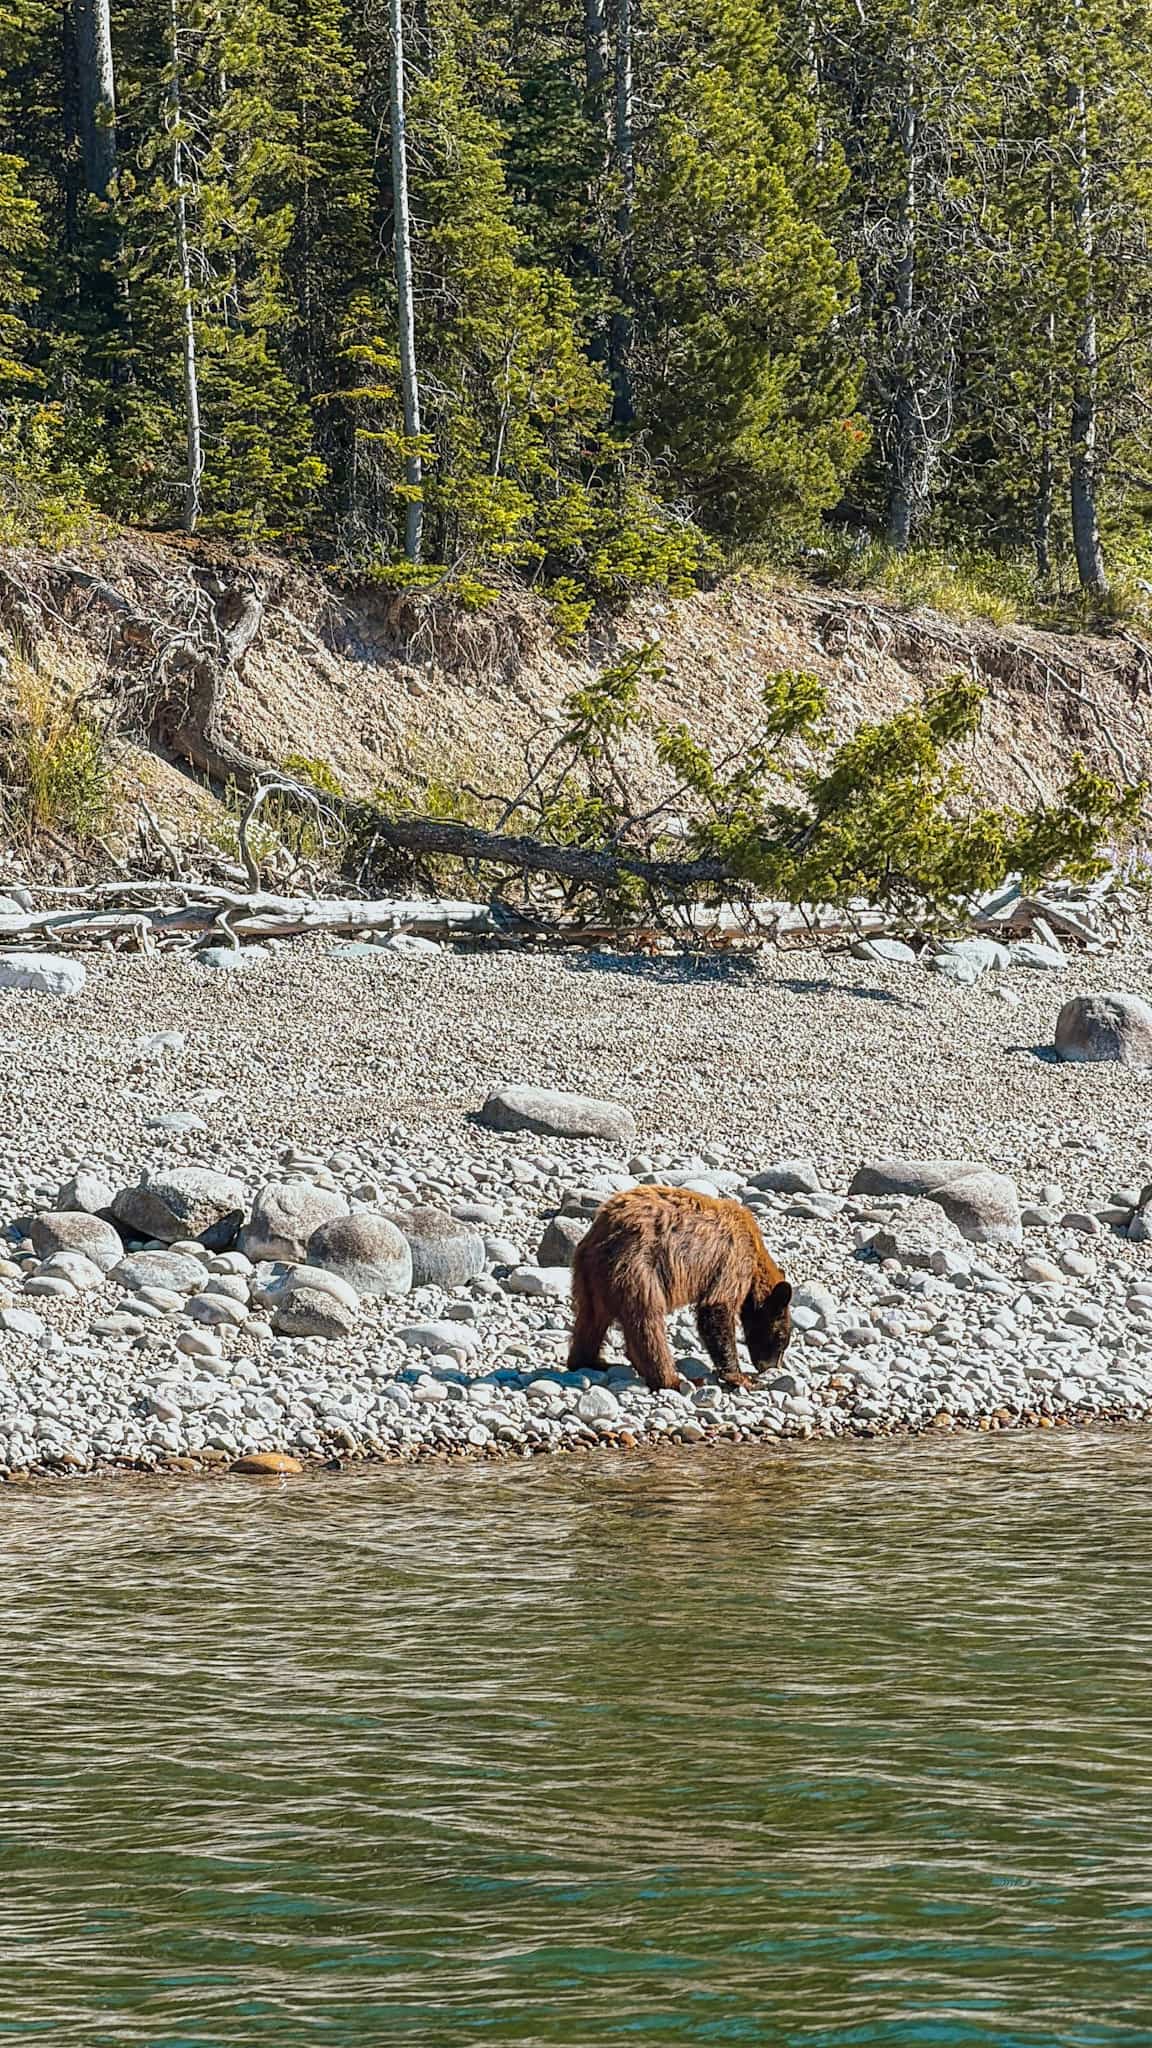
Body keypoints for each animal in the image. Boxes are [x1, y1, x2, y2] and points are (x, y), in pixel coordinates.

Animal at [567, 1185, 793, 1393]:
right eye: (781, 1338)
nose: (771, 1367)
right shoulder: (733, 1258)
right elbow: (717, 1307)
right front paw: (741, 1377)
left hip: (588, 1278)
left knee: (590, 1320)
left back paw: (589, 1361)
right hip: (637, 1269)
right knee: (648, 1323)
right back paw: (674, 1380)